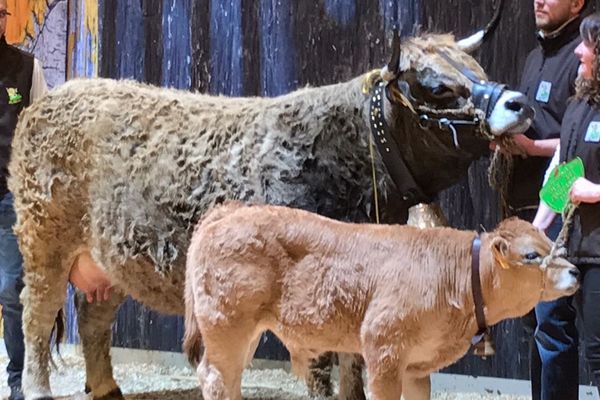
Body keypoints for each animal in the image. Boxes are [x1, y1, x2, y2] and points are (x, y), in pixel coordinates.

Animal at [9, 28, 532, 400]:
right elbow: (323, 367)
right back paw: (37, 390)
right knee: (35, 315)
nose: (519, 101)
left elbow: (354, 365)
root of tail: (56, 96)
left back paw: (107, 388)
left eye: (475, 67)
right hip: (43, 239)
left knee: (93, 318)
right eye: (437, 87)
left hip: (111, 257)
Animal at [182, 205, 576, 398]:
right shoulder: (384, 349)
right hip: (226, 324)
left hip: (243, 333)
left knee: (228, 379)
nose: (574, 270)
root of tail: (229, 211)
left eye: (548, 241)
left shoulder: (417, 365)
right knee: (215, 378)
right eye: (531, 255)